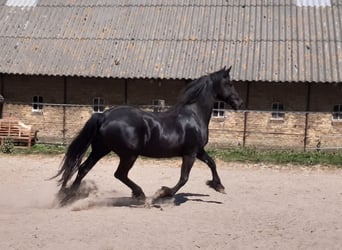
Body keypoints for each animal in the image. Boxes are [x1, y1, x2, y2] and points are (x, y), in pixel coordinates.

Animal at [53, 67, 243, 203]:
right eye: (230, 84)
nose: (239, 103)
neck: (194, 115)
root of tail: (104, 115)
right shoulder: (190, 153)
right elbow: (184, 178)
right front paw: (163, 194)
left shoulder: (199, 151)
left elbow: (212, 163)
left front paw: (218, 186)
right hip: (128, 155)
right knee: (119, 174)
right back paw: (140, 195)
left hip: (101, 150)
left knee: (83, 168)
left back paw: (67, 196)